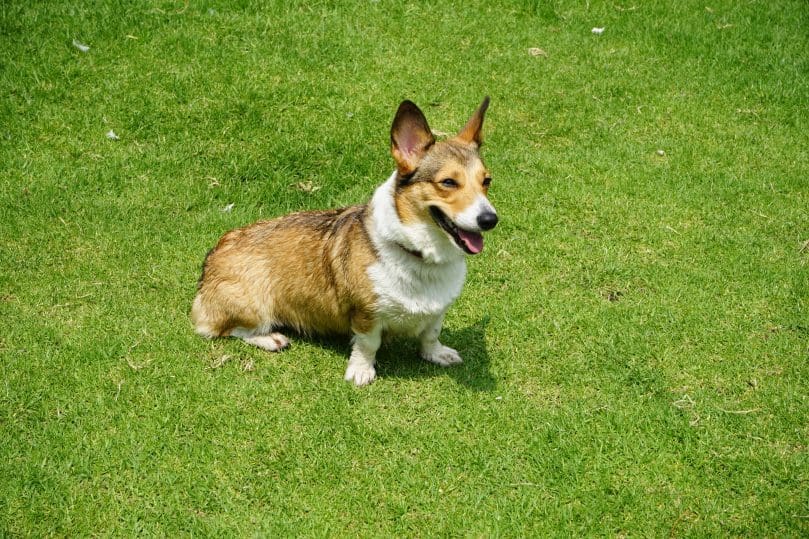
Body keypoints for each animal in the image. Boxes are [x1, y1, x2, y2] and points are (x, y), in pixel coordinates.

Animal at [193, 96, 496, 384]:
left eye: (487, 181)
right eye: (448, 182)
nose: (490, 219)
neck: (419, 255)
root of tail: (214, 255)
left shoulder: (438, 311)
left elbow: (430, 335)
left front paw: (436, 354)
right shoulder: (366, 315)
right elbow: (368, 345)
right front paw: (361, 372)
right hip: (253, 306)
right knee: (221, 329)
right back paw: (269, 338)